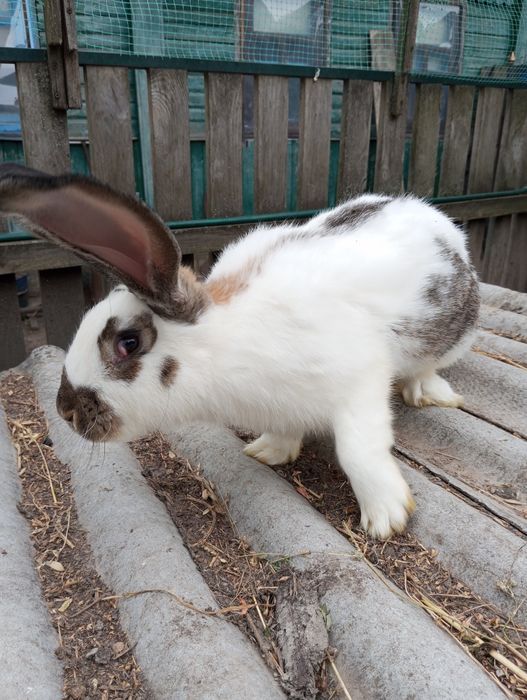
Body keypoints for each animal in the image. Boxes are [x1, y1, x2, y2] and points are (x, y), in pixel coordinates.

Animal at [0, 163, 479, 539]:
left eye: (128, 342)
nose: (64, 410)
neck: (220, 342)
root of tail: (436, 220)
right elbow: (286, 432)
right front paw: (267, 451)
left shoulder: (359, 380)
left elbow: (358, 451)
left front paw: (387, 516)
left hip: (449, 335)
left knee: (425, 370)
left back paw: (429, 393)